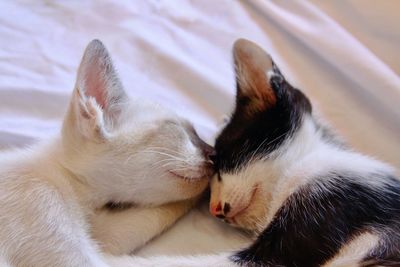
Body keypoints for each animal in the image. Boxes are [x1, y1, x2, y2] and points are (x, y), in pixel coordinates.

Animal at [0, 40, 214, 267]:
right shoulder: (79, 251)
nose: (214, 153)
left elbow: (159, 215)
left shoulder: (104, 235)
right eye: (177, 128)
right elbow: (202, 260)